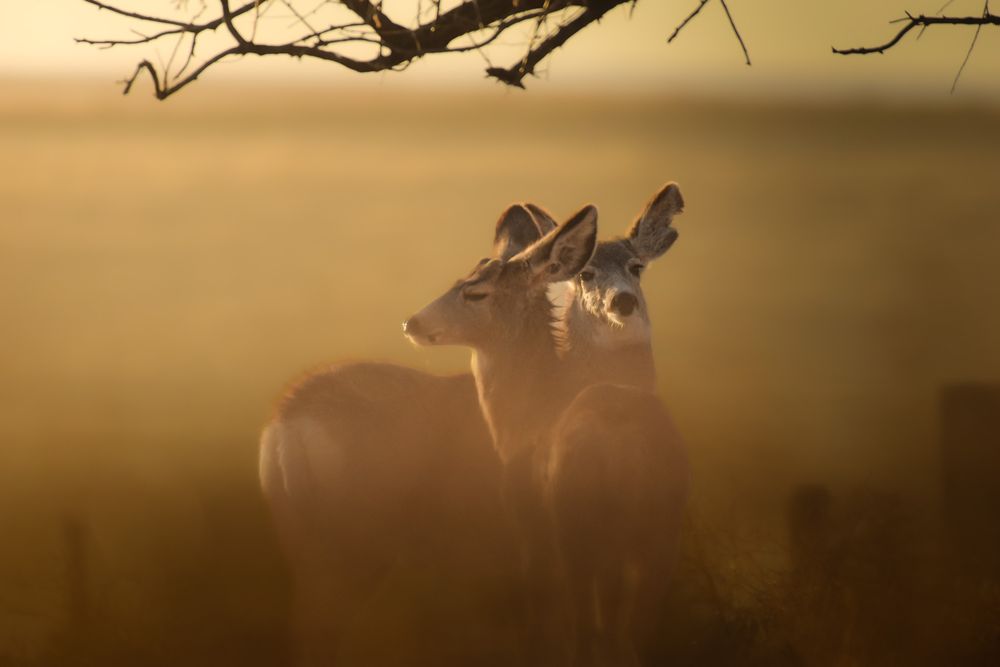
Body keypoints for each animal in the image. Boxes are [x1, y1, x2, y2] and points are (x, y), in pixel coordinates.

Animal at [404, 183, 689, 666]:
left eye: (475, 292)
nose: (412, 322)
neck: (528, 414)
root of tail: (628, 456)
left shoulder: (529, 526)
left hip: (581, 530)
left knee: (593, 630)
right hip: (660, 538)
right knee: (636, 632)